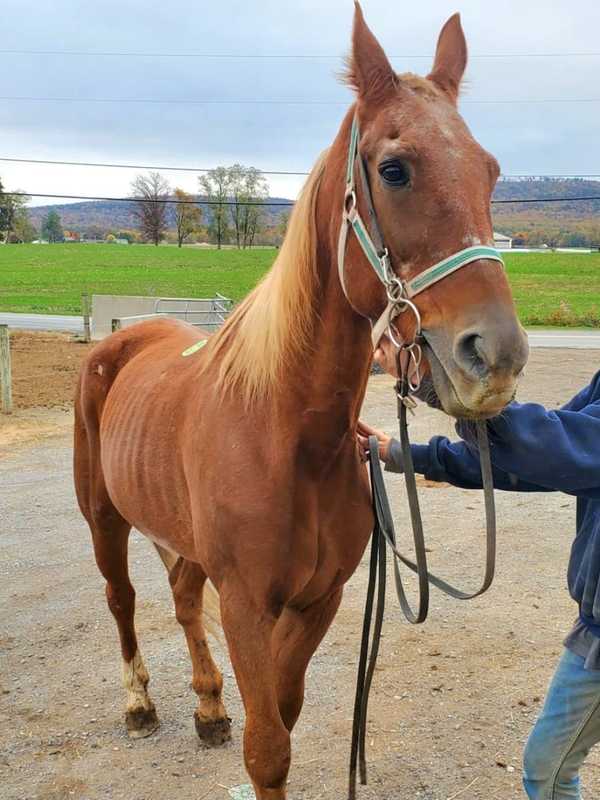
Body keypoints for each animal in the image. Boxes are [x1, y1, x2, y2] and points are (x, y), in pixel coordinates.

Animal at [72, 3, 528, 796]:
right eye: (394, 169)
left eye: (491, 170)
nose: (494, 358)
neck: (286, 434)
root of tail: (120, 342)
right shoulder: (246, 605)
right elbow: (269, 748)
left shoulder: (319, 599)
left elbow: (281, 715)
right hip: (104, 518)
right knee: (122, 600)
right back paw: (140, 704)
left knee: (182, 597)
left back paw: (207, 706)